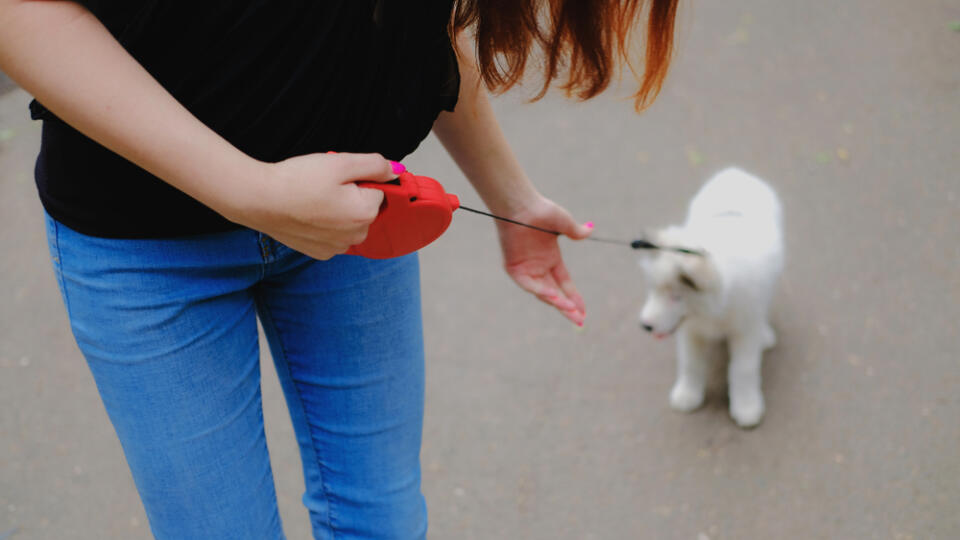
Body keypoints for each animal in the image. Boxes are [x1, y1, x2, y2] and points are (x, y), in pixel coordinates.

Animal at [640, 167, 784, 428]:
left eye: (677, 297)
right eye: (653, 289)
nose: (645, 326)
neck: (715, 310)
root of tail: (737, 171)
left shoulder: (745, 331)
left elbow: (743, 370)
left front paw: (746, 407)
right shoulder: (691, 332)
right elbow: (690, 364)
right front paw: (688, 396)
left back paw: (765, 335)